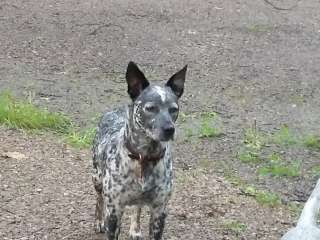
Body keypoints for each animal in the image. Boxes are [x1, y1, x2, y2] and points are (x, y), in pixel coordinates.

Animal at [92, 62, 186, 240]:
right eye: (150, 108)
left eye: (174, 109)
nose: (169, 129)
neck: (144, 157)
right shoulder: (114, 212)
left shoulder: (159, 211)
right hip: (97, 179)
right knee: (99, 199)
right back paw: (98, 221)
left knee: (138, 207)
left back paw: (135, 229)